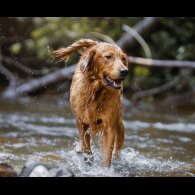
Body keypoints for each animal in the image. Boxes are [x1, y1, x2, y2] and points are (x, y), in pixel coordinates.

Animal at [53, 39, 129, 168]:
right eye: (108, 56)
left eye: (123, 58)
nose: (125, 71)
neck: (95, 91)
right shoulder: (81, 122)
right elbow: (86, 146)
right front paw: (88, 161)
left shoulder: (109, 125)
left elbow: (107, 155)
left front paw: (105, 169)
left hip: (119, 124)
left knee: (118, 147)